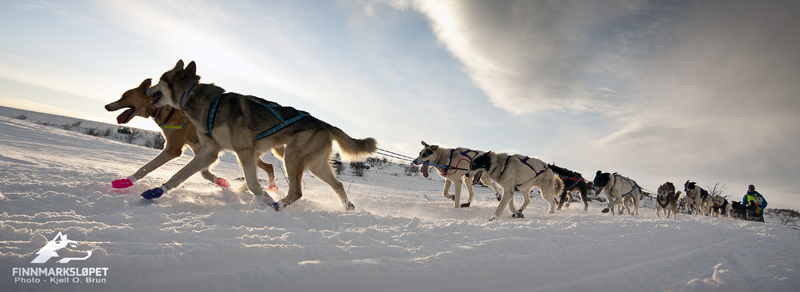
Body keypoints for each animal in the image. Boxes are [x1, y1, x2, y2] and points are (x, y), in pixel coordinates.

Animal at [103, 78, 278, 192]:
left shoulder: (172, 149)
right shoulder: (198, 148)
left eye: (124, 96)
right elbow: (204, 172)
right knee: (267, 167)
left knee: (267, 167)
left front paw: (126, 181)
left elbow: (146, 167)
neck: (166, 110)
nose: (106, 106)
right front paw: (221, 181)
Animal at [142, 60, 376, 210]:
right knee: (338, 185)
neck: (206, 104)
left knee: (297, 192)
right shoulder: (209, 152)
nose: (146, 89)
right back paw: (347, 206)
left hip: (292, 159)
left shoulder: (244, 151)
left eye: (160, 80)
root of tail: (323, 123)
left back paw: (277, 204)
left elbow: (254, 184)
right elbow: (179, 175)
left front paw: (264, 197)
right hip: (313, 164)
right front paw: (157, 191)